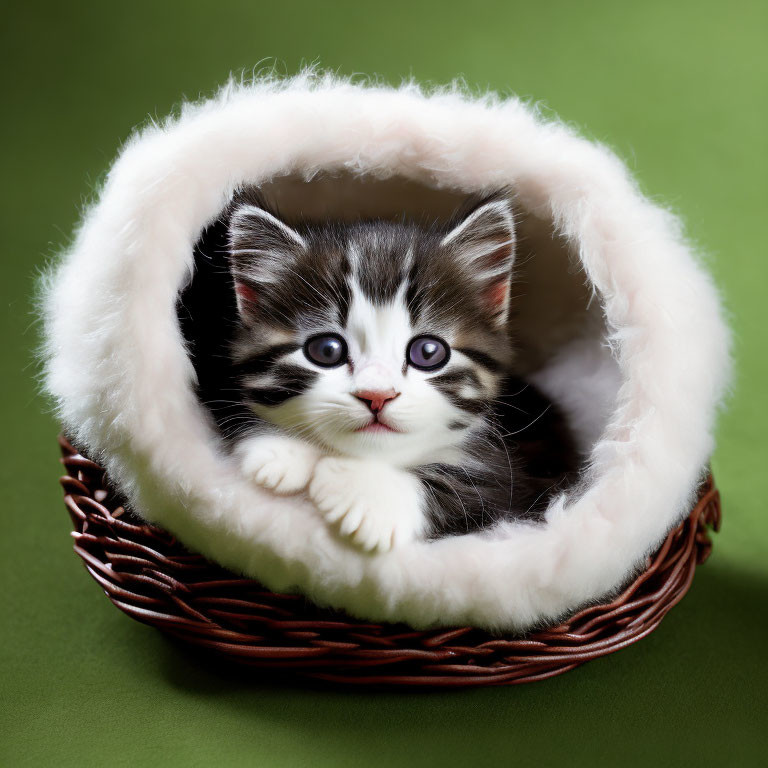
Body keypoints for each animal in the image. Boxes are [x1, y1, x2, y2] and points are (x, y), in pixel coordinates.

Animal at [225, 190, 572, 552]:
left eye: (428, 352)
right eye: (327, 351)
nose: (377, 396)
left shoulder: (515, 494)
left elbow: (472, 488)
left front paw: (369, 495)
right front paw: (283, 447)